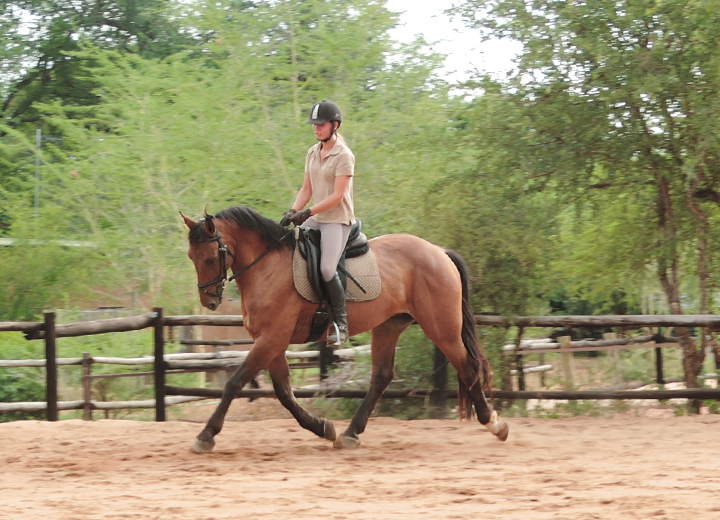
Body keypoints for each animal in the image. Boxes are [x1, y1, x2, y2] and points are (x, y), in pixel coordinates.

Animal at [181, 206, 509, 452]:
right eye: (191, 258)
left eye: (211, 257)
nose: (209, 301)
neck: (267, 268)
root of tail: (438, 251)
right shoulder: (273, 342)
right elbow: (285, 393)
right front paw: (323, 428)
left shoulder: (272, 338)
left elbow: (235, 383)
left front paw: (206, 436)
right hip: (389, 326)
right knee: (382, 376)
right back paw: (350, 433)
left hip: (441, 327)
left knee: (467, 367)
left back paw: (495, 424)